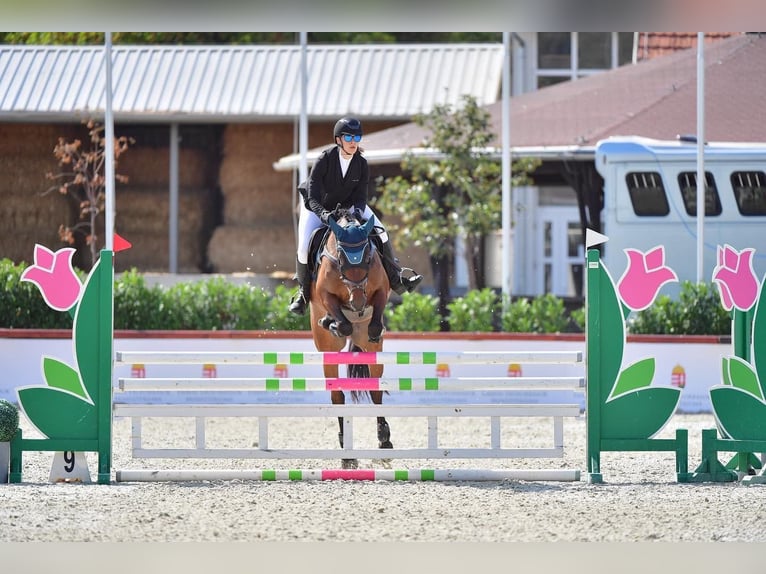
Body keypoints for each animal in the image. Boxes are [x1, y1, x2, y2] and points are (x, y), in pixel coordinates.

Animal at [309, 208, 393, 469]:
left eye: (367, 259)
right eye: (341, 262)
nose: (357, 303)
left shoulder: (381, 290)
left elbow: (375, 323)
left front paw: (376, 328)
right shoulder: (325, 294)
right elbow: (341, 321)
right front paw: (333, 323)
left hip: (368, 348)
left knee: (376, 390)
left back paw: (384, 441)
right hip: (328, 351)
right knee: (337, 395)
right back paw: (347, 454)